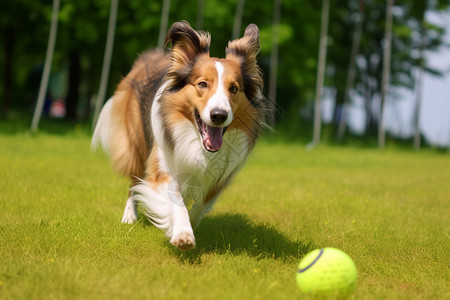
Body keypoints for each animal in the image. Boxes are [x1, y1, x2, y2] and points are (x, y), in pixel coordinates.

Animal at [91, 21, 268, 250]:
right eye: (202, 84)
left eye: (234, 88)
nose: (219, 115)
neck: (197, 143)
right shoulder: (162, 166)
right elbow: (177, 202)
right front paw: (182, 233)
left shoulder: (218, 178)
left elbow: (199, 207)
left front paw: (187, 226)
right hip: (138, 145)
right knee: (133, 182)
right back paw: (129, 216)